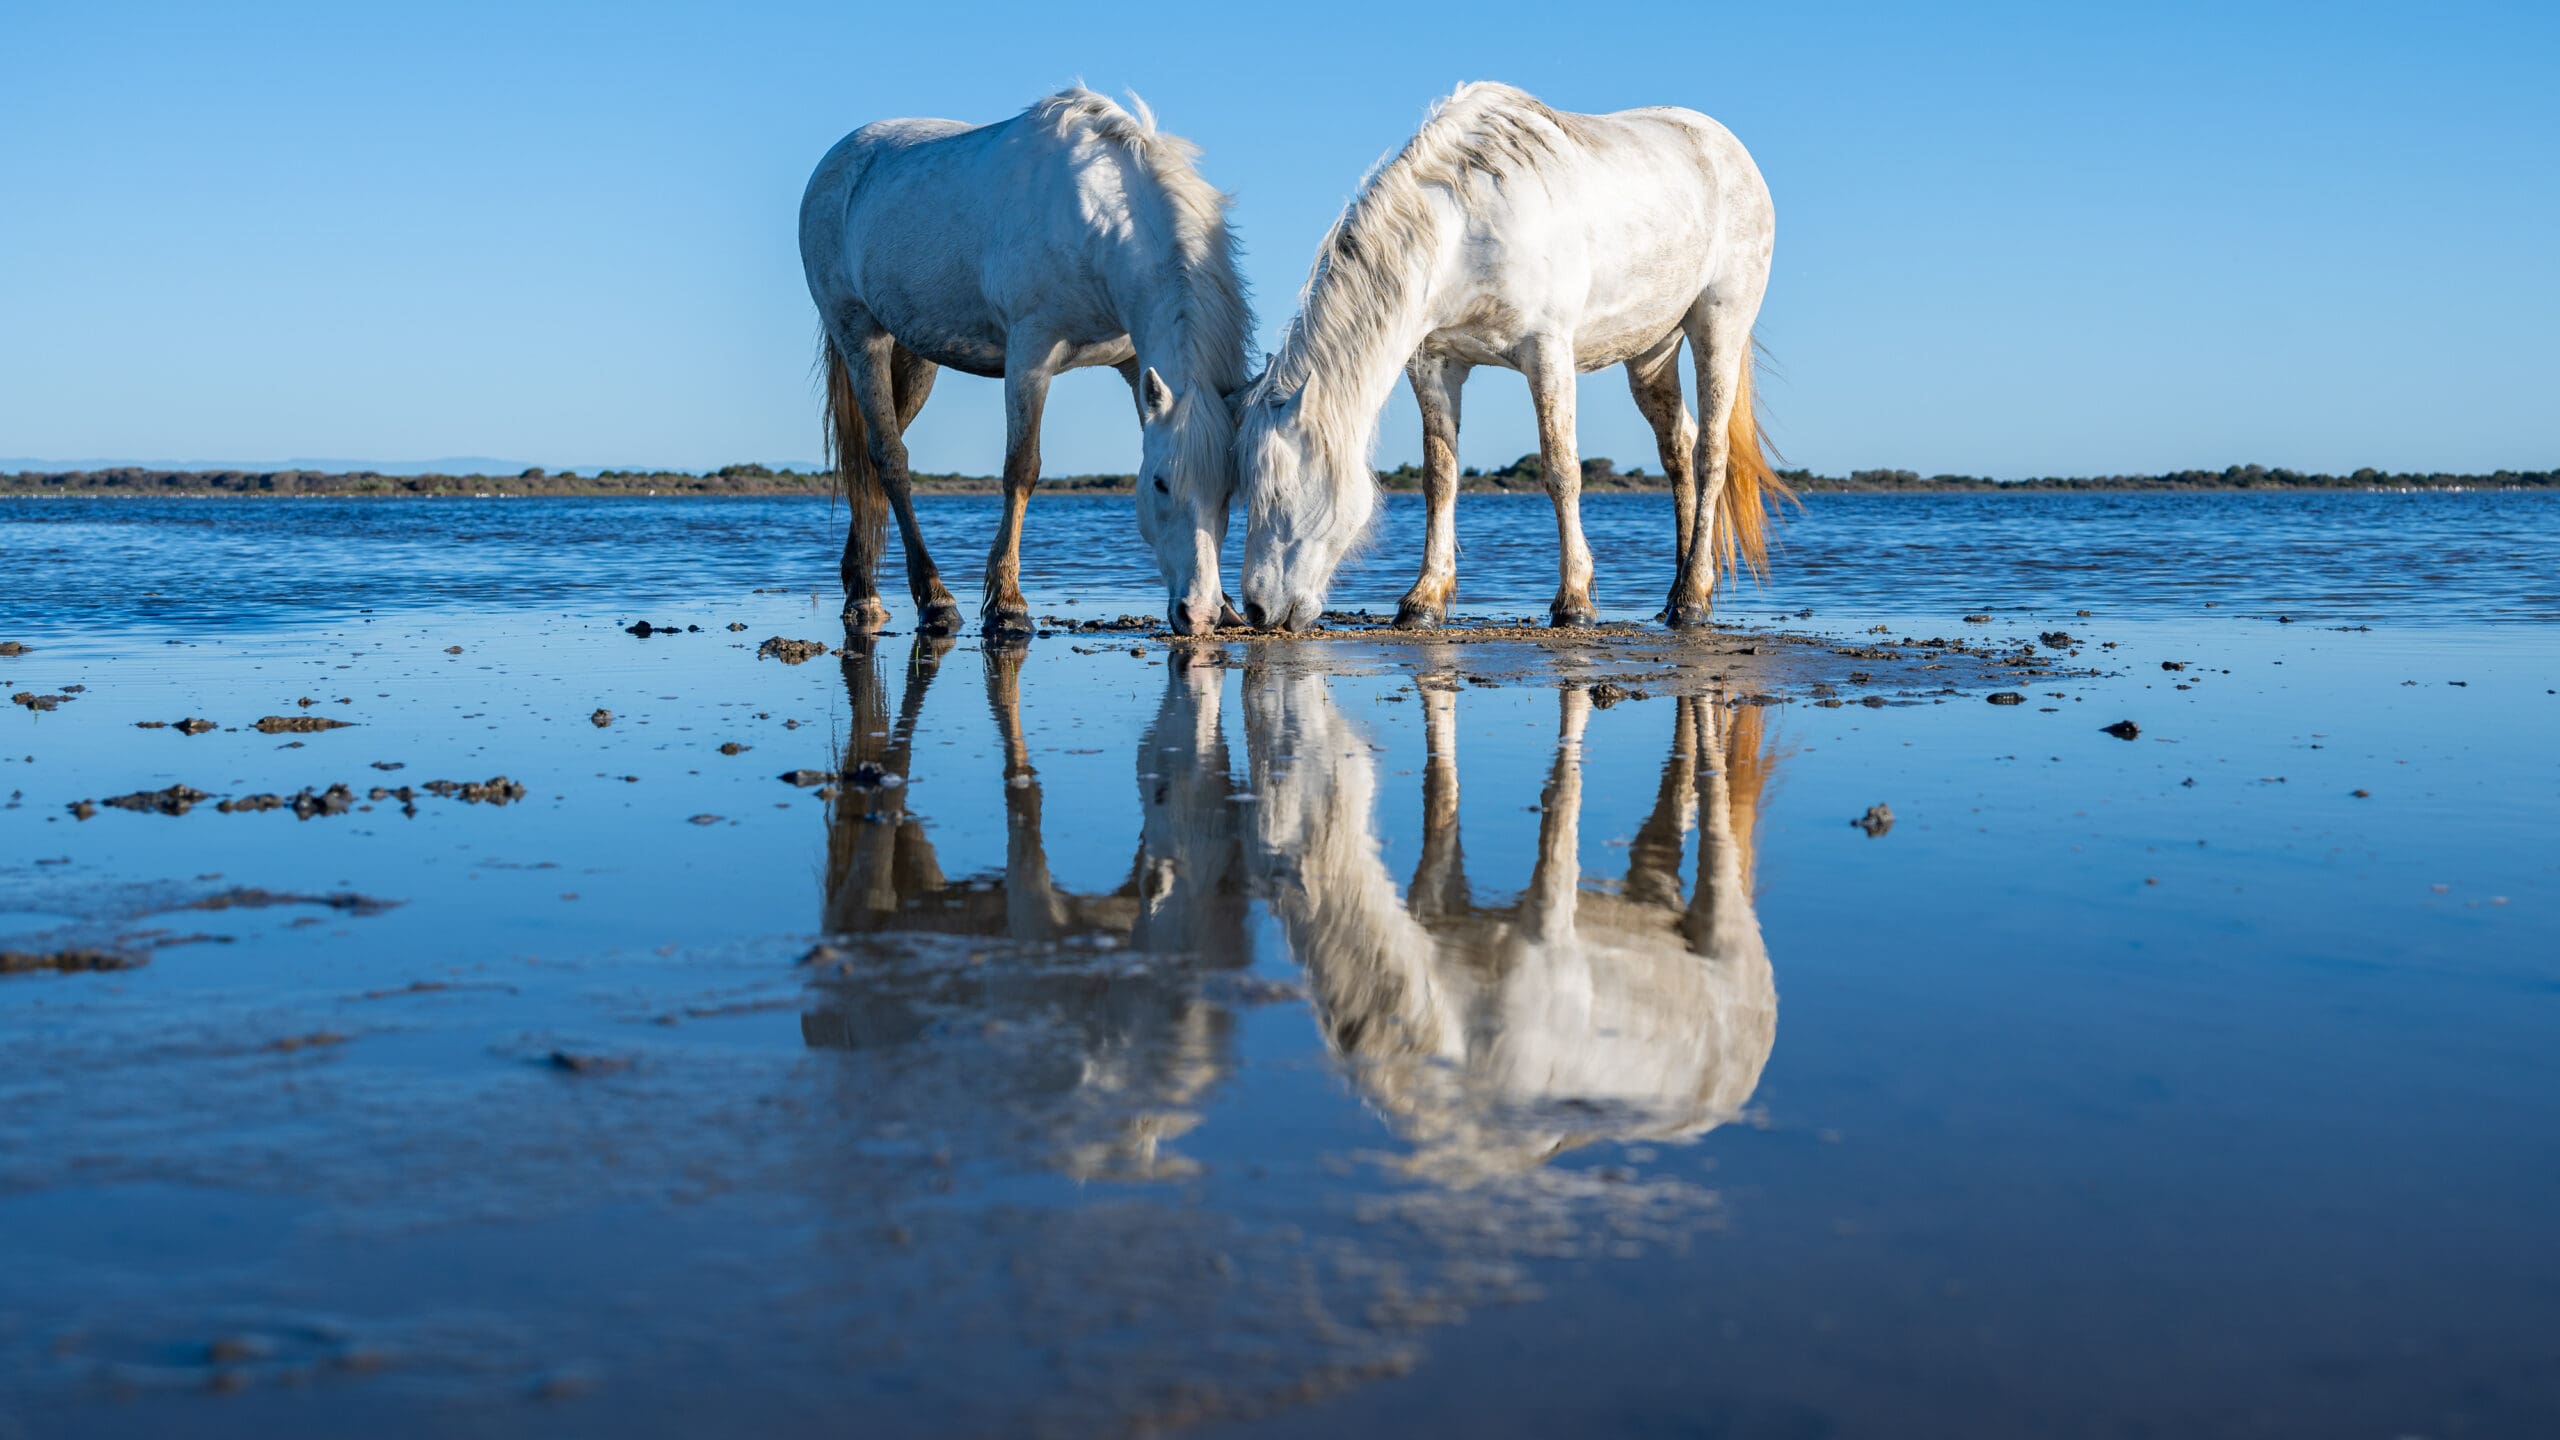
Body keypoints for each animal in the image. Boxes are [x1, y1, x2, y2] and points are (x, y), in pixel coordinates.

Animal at [793, 87, 1244, 630]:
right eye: (1158, 484)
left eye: (1231, 490)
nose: (1198, 613)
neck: (1096, 219)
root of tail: (836, 162)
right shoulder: (1030, 352)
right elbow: (1021, 468)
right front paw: (1008, 603)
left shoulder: (1136, 365)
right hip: (861, 336)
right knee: (888, 458)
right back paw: (932, 598)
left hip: (915, 358)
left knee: (868, 456)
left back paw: (862, 589)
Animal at [1233, 83, 1781, 627]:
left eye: (1278, 496)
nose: (1257, 610)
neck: (1463, 232)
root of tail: (1729, 149)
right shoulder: (1434, 365)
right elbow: (1439, 477)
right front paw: (1423, 600)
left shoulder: (1548, 351)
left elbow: (1562, 471)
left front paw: (1573, 602)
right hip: (1651, 351)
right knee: (1678, 450)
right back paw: (1677, 593)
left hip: (1718, 326)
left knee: (1711, 455)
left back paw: (1691, 600)